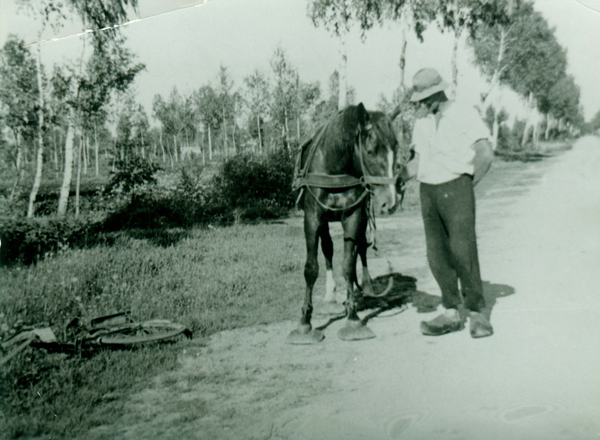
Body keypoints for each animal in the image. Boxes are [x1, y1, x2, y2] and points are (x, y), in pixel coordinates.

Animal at [288, 104, 406, 344]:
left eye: (395, 149)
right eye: (370, 151)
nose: (390, 202)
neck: (334, 167)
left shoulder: (354, 215)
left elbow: (349, 265)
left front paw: (352, 318)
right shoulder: (312, 218)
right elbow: (311, 267)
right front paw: (304, 321)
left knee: (361, 248)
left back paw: (366, 288)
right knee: (328, 249)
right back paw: (330, 295)